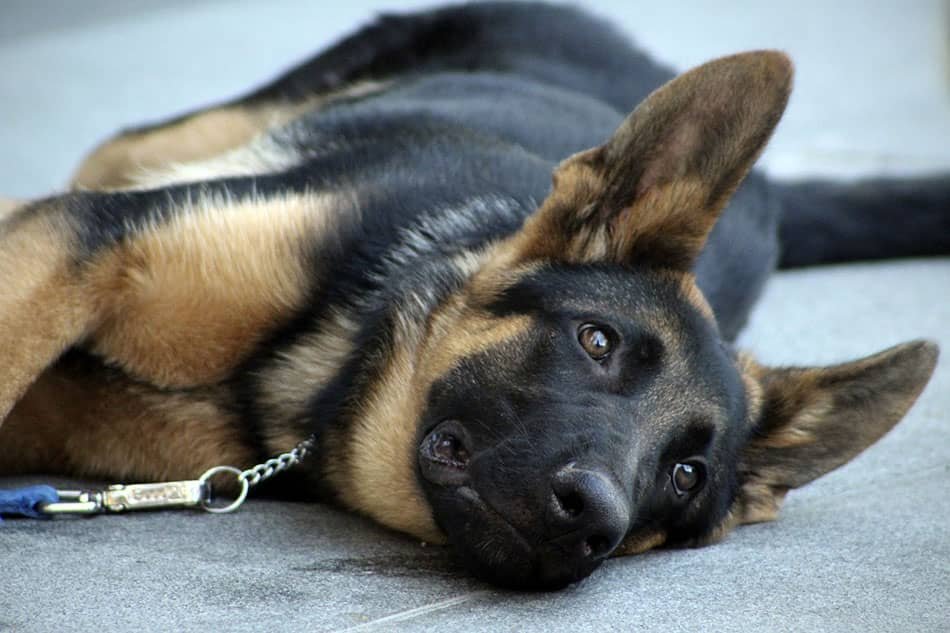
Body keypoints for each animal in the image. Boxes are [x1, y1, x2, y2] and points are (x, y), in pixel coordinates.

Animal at [1, 3, 950, 588]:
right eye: (596, 341)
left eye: (687, 476)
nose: (594, 516)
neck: (333, 367)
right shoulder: (83, 240)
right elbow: (18, 333)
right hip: (162, 145)